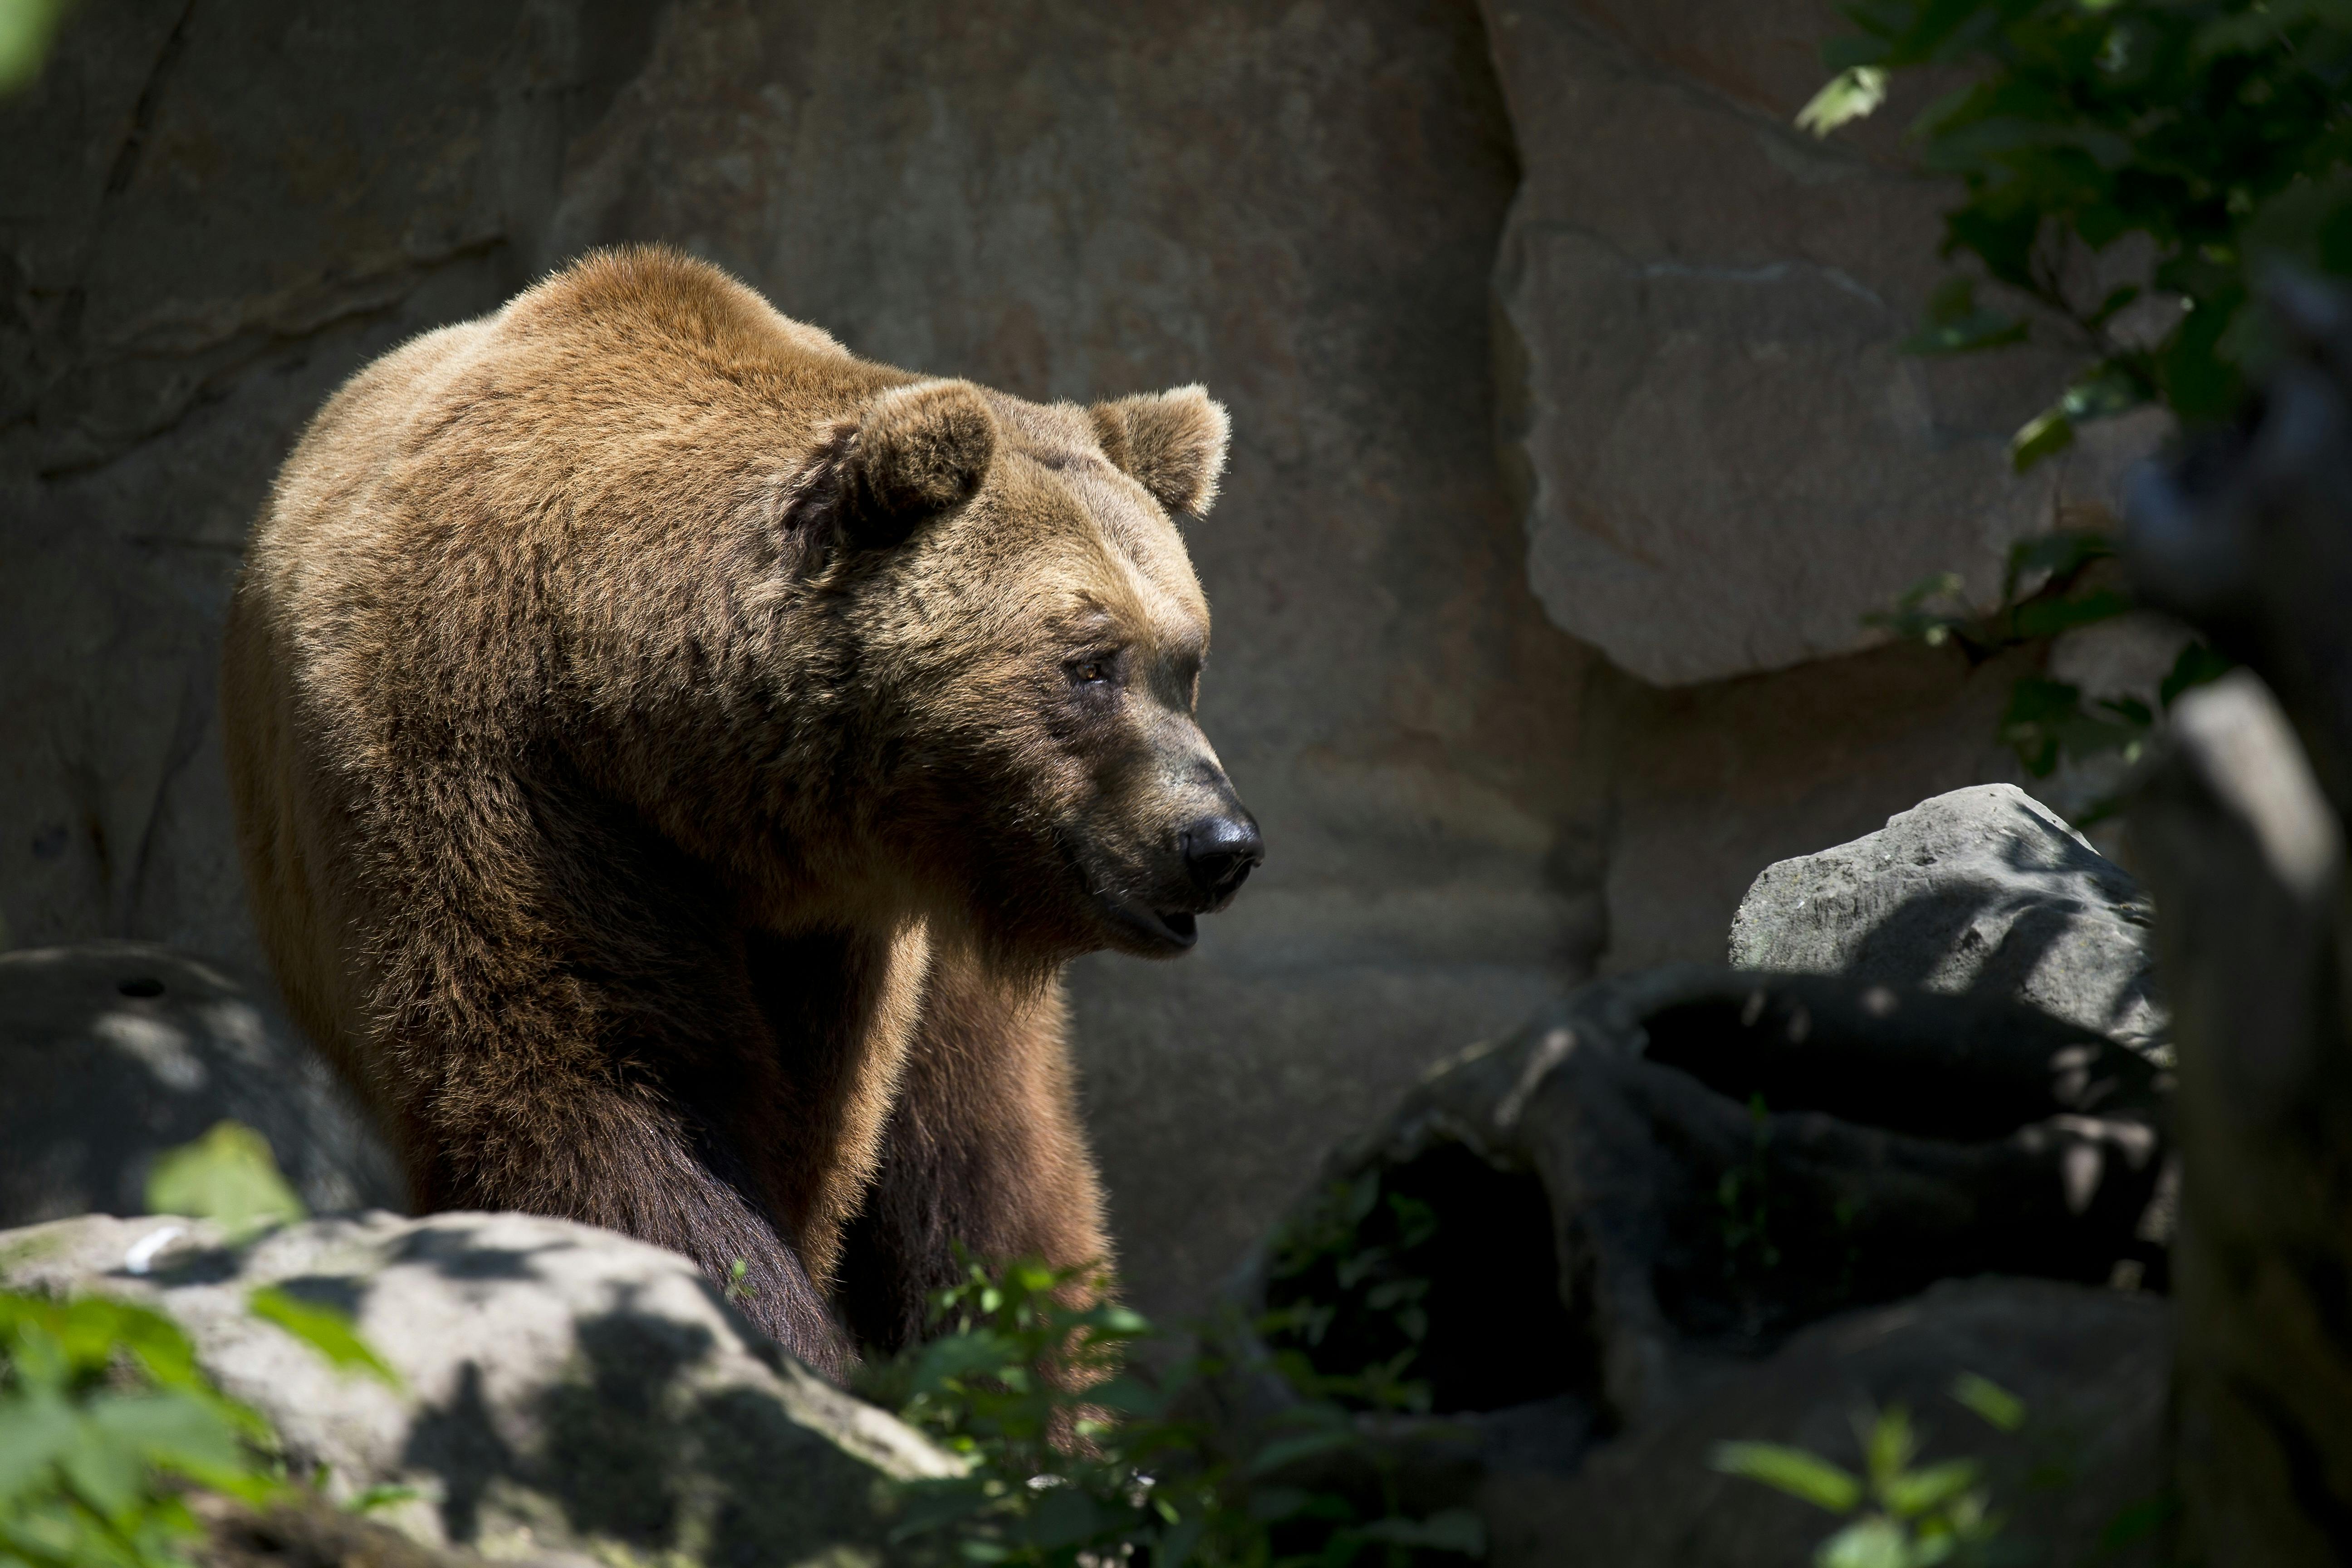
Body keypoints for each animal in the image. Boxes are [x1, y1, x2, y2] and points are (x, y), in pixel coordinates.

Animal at [219, 246, 1262, 1374]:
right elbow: (602, 1090)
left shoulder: (844, 938)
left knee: (988, 1167)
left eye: (1186, 661)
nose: (1219, 844)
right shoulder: (504, 777)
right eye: (1090, 663)